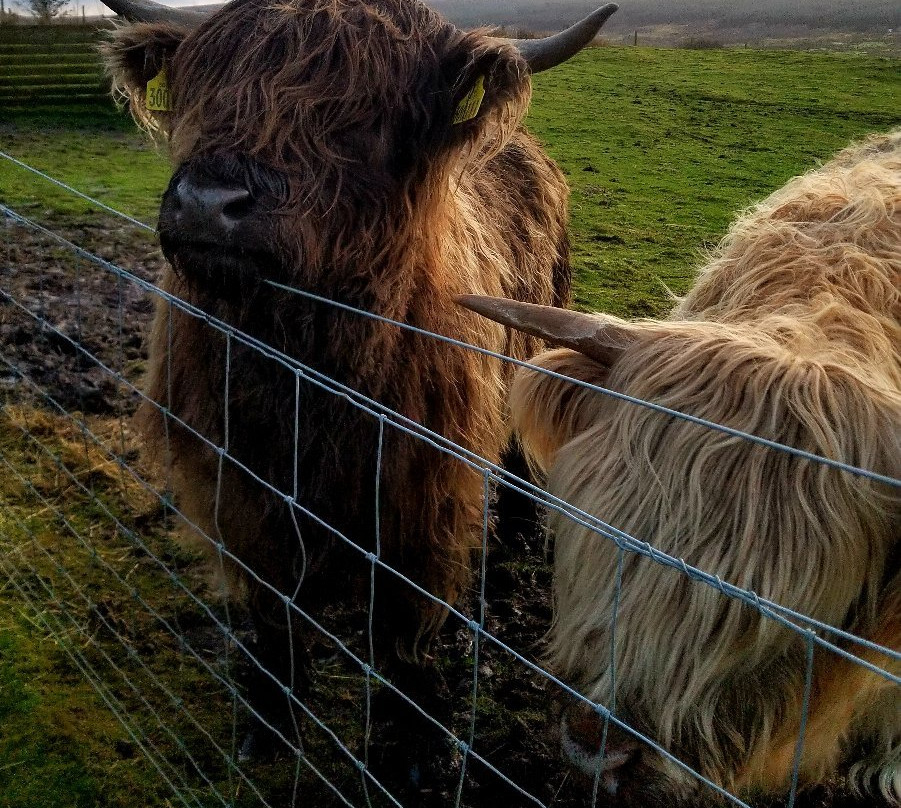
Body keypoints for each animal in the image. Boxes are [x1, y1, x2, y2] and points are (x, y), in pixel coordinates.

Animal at [98, 0, 620, 776]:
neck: (304, 367)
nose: (206, 202)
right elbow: (273, 610)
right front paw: (269, 722)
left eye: (360, 116)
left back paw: (522, 534)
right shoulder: (242, 485)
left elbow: (401, 627)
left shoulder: (417, 494)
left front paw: (416, 740)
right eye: (205, 89)